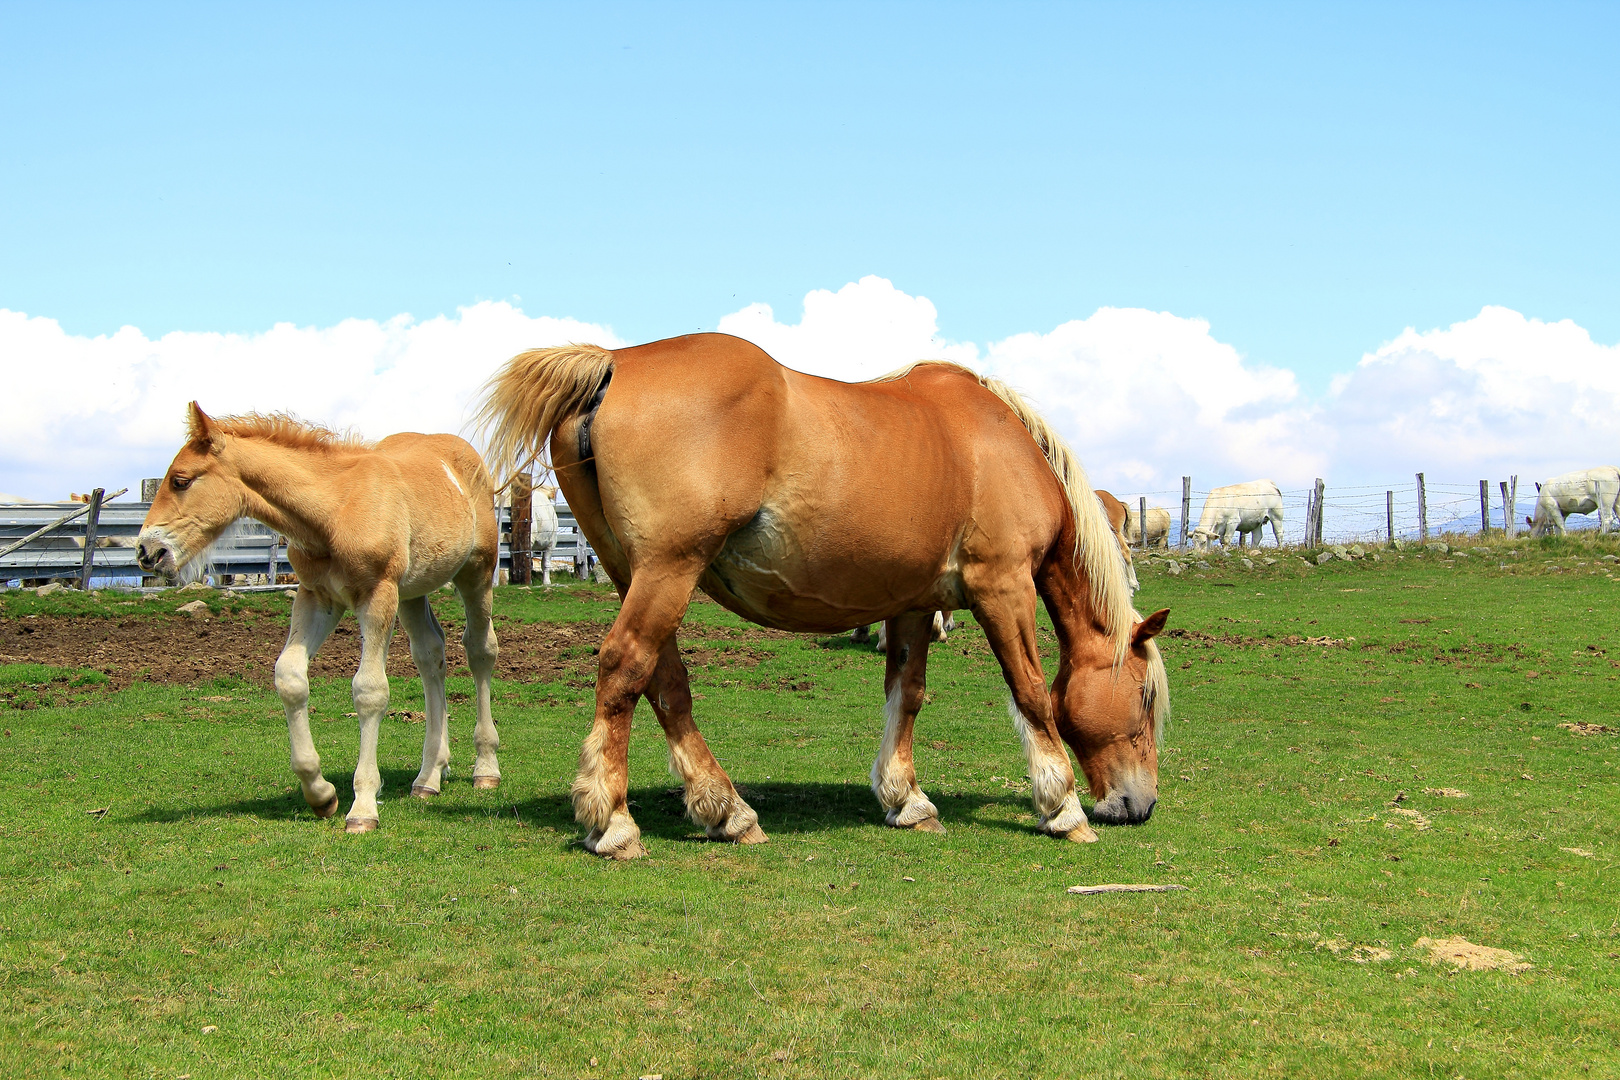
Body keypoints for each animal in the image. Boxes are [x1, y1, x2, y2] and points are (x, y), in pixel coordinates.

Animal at [139, 401, 498, 835]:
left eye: (181, 481)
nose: (146, 551)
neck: (335, 509)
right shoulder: (317, 598)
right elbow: (290, 677)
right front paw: (321, 793)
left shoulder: (378, 593)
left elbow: (369, 690)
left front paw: (363, 806)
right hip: (413, 591)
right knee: (431, 655)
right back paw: (429, 776)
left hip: (477, 571)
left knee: (479, 650)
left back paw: (485, 768)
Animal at [473, 335, 1172, 861]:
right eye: (1143, 697)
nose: (1141, 806)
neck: (1000, 446)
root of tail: (615, 362)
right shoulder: (1002, 587)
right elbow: (1030, 692)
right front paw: (1062, 807)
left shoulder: (913, 602)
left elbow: (907, 694)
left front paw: (905, 799)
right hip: (668, 569)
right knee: (625, 666)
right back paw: (613, 822)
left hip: (639, 573)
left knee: (665, 682)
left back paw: (726, 811)